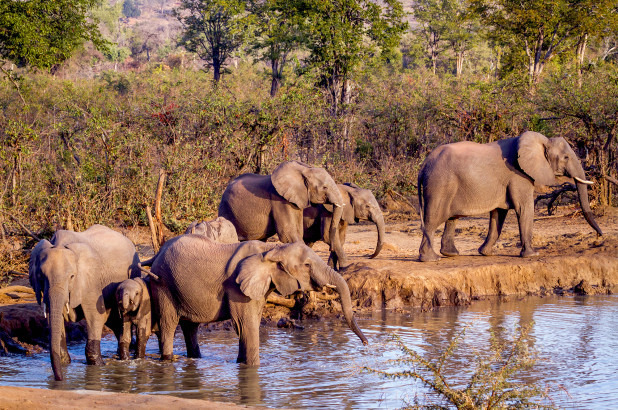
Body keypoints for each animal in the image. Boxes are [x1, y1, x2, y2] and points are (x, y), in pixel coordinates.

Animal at [28, 224, 138, 382]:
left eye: (72, 276)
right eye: (41, 277)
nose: (60, 380)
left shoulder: (91, 280)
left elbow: (95, 316)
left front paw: (98, 366)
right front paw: (65, 362)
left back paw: (126, 358)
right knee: (115, 322)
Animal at [147, 235, 366, 364]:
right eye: (306, 265)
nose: (365, 344)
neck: (271, 248)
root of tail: (157, 254)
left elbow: (250, 323)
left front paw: (241, 364)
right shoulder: (236, 287)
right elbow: (246, 325)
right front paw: (252, 368)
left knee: (190, 327)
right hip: (163, 283)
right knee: (168, 324)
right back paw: (168, 359)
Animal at [218, 162, 346, 268]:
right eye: (325, 187)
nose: (330, 248)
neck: (304, 169)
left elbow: (297, 232)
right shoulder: (279, 199)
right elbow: (288, 234)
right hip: (227, 209)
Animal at [416, 130, 600, 262]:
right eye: (566, 157)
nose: (599, 238)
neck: (541, 142)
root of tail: (424, 164)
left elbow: (499, 214)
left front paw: (486, 253)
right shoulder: (519, 175)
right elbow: (524, 208)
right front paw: (533, 255)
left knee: (451, 218)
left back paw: (451, 254)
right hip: (440, 184)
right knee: (433, 220)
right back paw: (431, 259)